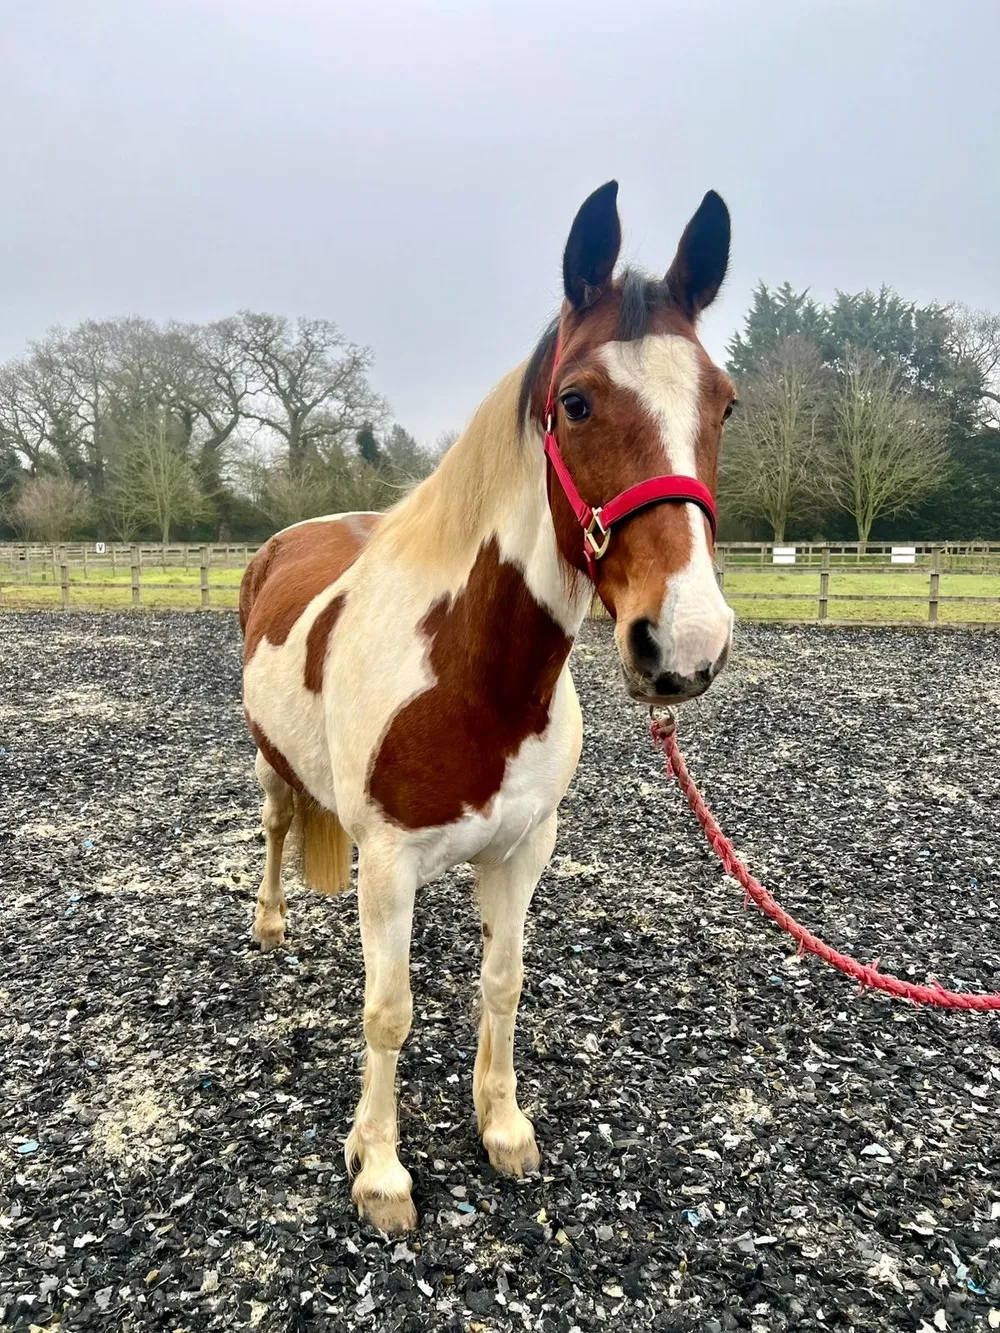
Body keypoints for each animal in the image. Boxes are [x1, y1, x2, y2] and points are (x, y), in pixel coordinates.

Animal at [239, 181, 737, 1233]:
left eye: (724, 402)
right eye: (577, 401)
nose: (686, 644)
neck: (476, 679)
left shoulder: (521, 853)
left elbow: (501, 985)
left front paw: (502, 1127)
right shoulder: (387, 865)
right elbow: (388, 1011)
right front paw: (381, 1170)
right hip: (270, 762)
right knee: (275, 826)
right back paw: (267, 925)